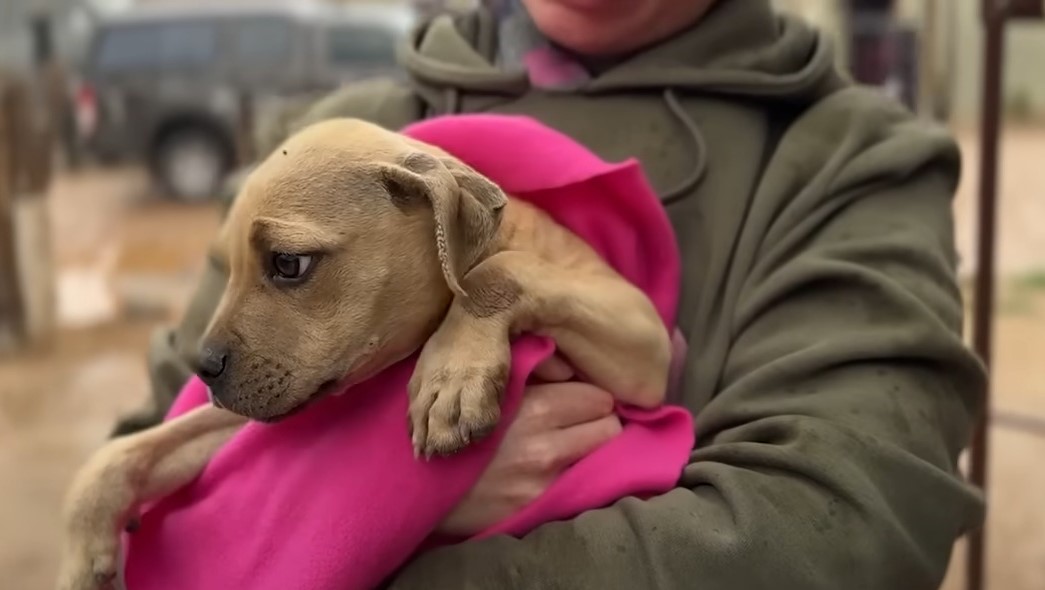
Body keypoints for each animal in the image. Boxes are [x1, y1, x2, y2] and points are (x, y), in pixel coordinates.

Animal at [57, 119, 672, 588]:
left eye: (288, 263)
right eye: (227, 266)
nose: (202, 368)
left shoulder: (644, 337)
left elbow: (501, 270)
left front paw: (450, 379)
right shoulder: (262, 403)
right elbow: (134, 449)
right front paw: (84, 554)